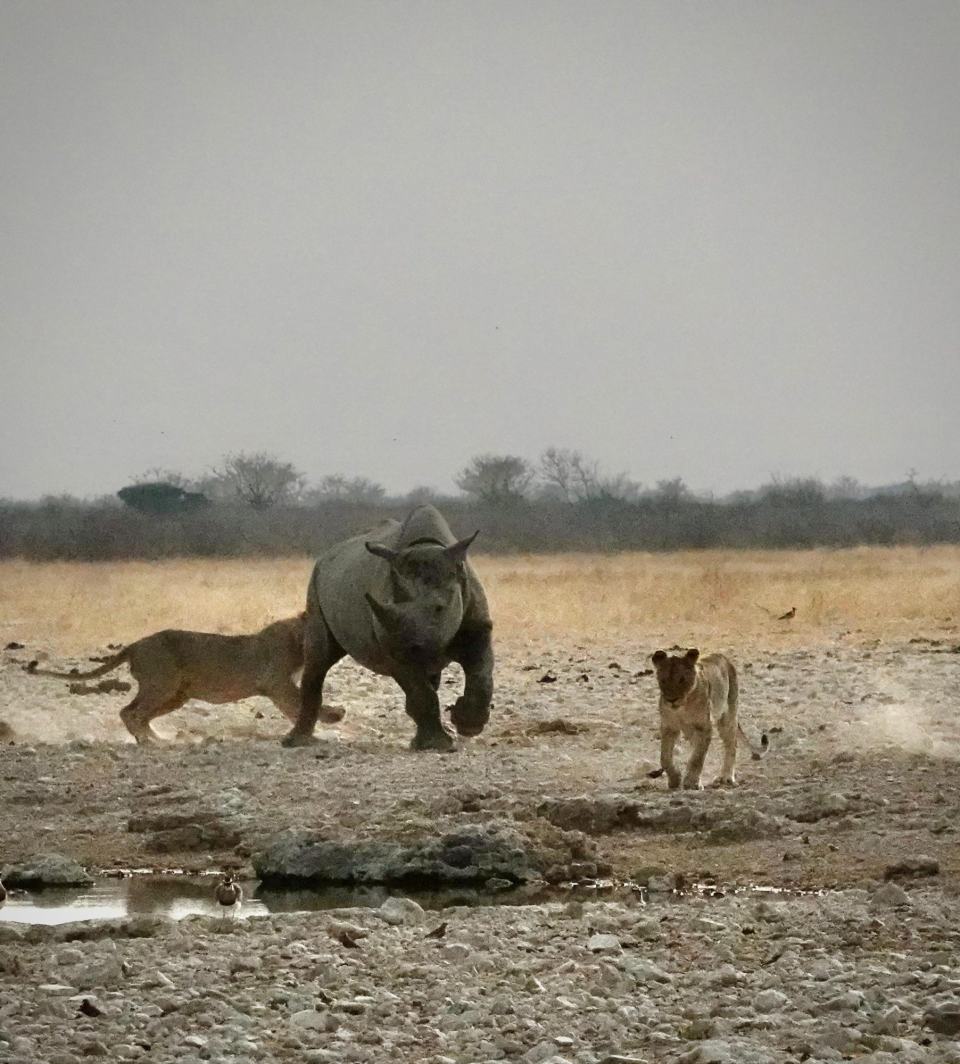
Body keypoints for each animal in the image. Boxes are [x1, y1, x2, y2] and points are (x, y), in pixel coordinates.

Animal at [26, 614, 344, 744]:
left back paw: (157, 738)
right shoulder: (277, 683)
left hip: (175, 695)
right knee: (130, 711)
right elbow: (300, 702)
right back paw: (152, 742)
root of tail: (134, 645)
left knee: (138, 714)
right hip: (161, 684)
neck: (297, 636)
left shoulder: (280, 686)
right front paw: (333, 716)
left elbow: (295, 707)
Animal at [282, 505, 494, 751]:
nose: (409, 648)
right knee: (319, 658)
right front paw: (436, 744)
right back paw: (296, 742)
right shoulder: (392, 644)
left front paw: (468, 726)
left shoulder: (478, 628)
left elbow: (481, 675)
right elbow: (420, 691)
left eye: (440, 608)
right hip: (315, 585)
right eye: (388, 606)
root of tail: (325, 556)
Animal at [648, 647, 768, 789]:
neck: (683, 707)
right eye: (663, 680)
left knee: (732, 744)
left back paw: (727, 777)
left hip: (727, 715)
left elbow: (697, 758)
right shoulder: (669, 727)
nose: (672, 700)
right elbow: (665, 758)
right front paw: (675, 779)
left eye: (682, 679)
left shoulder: (704, 727)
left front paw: (692, 782)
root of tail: (723, 657)